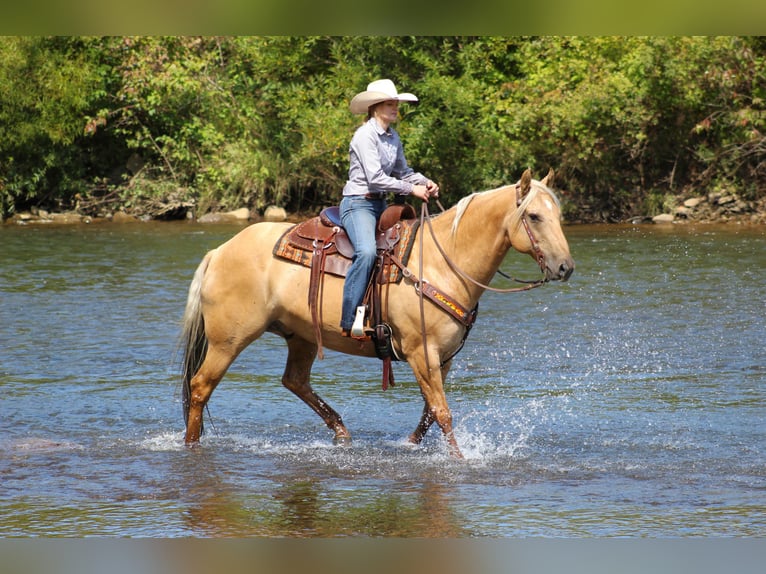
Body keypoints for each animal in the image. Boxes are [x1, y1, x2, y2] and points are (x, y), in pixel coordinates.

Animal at [182, 169, 576, 462]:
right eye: (534, 216)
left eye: (557, 215)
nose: (565, 267)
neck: (442, 261)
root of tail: (219, 251)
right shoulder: (421, 353)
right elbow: (443, 411)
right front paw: (459, 459)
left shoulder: (443, 357)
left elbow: (430, 412)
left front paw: (410, 446)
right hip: (229, 339)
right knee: (201, 387)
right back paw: (190, 444)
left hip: (301, 336)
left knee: (294, 381)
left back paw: (342, 434)